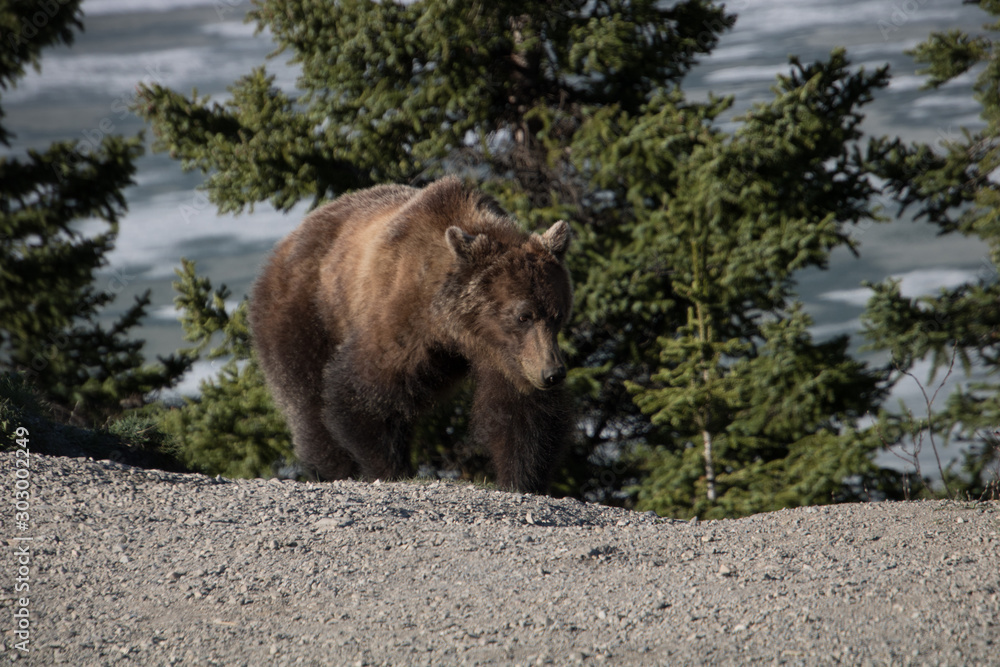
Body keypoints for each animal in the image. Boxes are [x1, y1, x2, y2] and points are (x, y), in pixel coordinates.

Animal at [249, 177, 573, 493]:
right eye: (523, 315)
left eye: (558, 314)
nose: (553, 373)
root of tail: (286, 242)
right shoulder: (404, 318)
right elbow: (363, 391)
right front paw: (389, 467)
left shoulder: (508, 354)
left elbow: (520, 409)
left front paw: (522, 479)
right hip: (304, 312)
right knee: (307, 400)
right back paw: (331, 466)